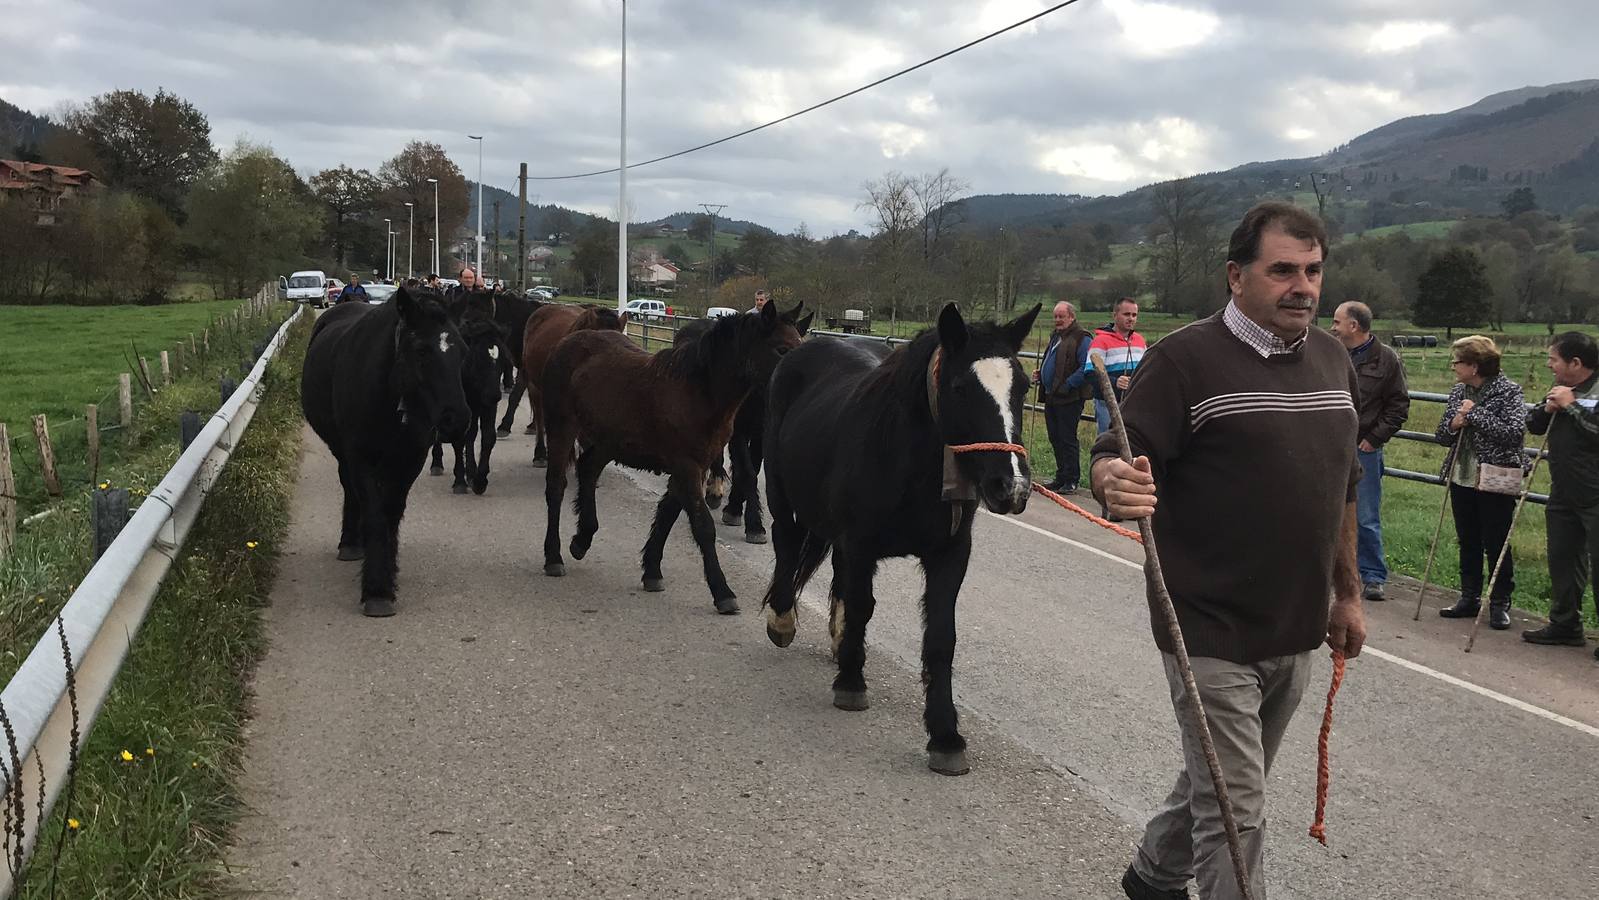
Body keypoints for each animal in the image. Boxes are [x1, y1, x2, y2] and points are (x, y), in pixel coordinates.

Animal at [302, 289, 470, 620]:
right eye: (421, 350)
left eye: (462, 351)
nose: (456, 420)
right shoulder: (360, 458)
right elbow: (375, 513)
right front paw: (376, 590)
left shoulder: (410, 459)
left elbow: (390, 512)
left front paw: (386, 576)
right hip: (343, 453)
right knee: (350, 489)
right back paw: (351, 543)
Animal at [540, 306, 812, 617]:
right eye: (782, 349)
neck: (697, 390)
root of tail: (565, 342)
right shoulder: (686, 466)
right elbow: (702, 526)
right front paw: (723, 592)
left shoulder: (694, 466)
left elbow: (668, 513)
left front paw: (652, 571)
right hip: (562, 427)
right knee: (556, 487)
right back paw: (553, 556)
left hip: (608, 442)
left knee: (588, 470)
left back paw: (582, 538)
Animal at [757, 300, 1036, 773]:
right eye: (960, 387)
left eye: (1024, 386)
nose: (1011, 486)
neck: (908, 461)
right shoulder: (861, 543)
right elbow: (862, 607)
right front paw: (851, 681)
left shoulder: (949, 555)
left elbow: (941, 638)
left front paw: (945, 735)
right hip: (781, 493)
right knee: (787, 542)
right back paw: (783, 620)